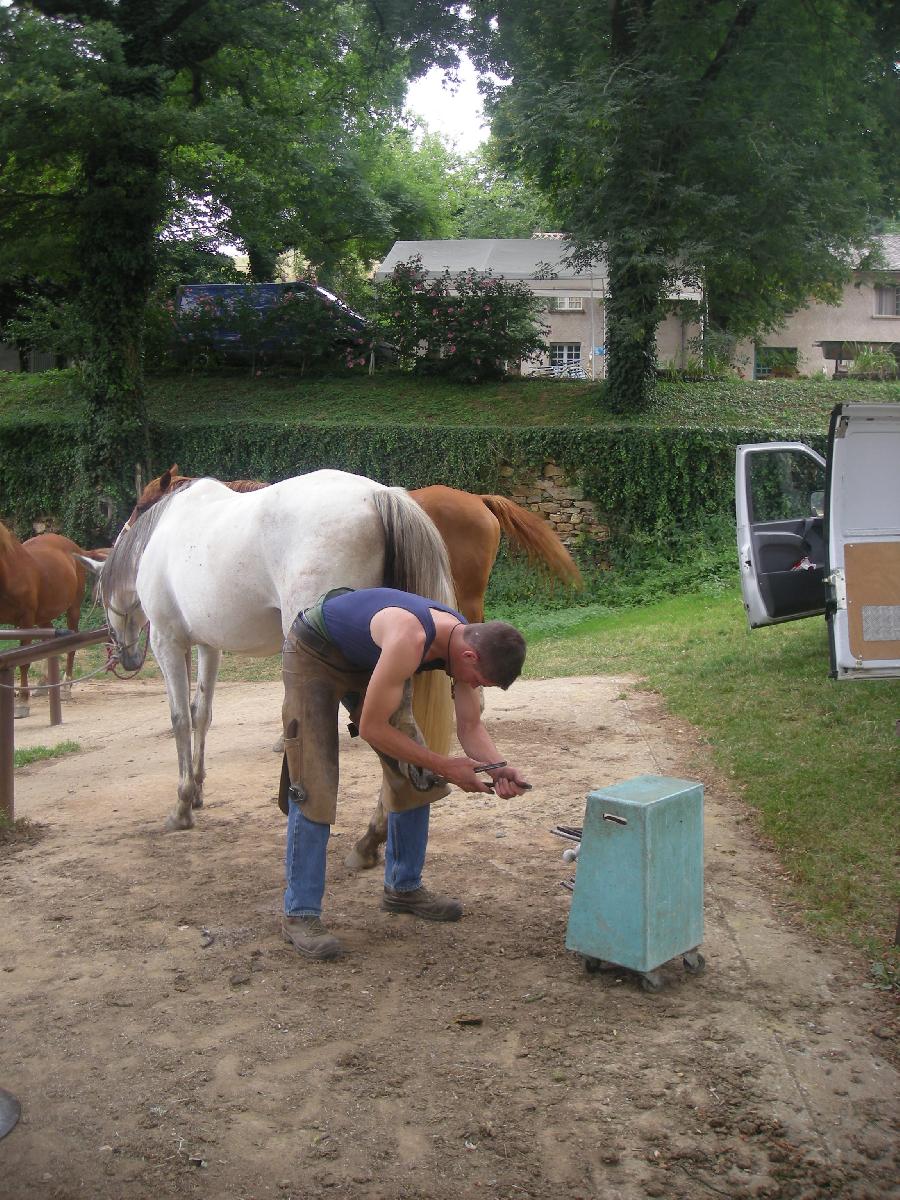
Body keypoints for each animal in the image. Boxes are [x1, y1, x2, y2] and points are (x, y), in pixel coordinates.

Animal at [0, 520, 88, 715]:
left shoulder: (25, 620)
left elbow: (24, 662)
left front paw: (22, 703)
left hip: (73, 609)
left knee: (70, 646)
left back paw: (65, 688)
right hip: (42, 617)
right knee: (48, 641)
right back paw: (43, 684)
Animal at [80, 470, 453, 835]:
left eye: (100, 598)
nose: (124, 656)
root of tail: (379, 495)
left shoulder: (167, 643)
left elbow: (180, 718)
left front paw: (183, 805)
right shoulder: (208, 646)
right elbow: (201, 713)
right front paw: (197, 790)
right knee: (400, 729)